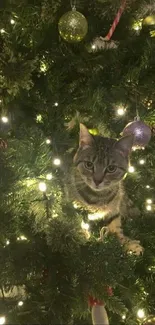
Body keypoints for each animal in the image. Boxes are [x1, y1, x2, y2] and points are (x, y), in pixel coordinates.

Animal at [70, 123, 143, 254]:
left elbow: (117, 229)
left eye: (111, 168)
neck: (99, 196)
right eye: (89, 164)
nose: (97, 181)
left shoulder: (113, 211)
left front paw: (129, 245)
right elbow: (78, 220)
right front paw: (82, 234)